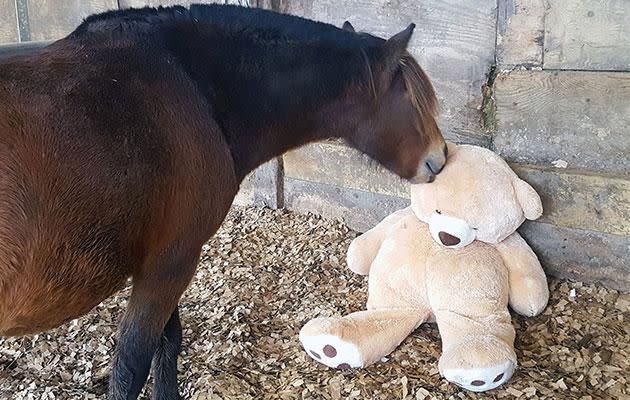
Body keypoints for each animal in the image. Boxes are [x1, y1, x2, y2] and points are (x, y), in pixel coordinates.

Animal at [1, 3, 450, 400]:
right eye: (412, 99)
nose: (440, 158)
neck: (190, 87)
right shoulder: (171, 263)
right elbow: (133, 365)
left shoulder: (164, 260)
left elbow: (167, 343)